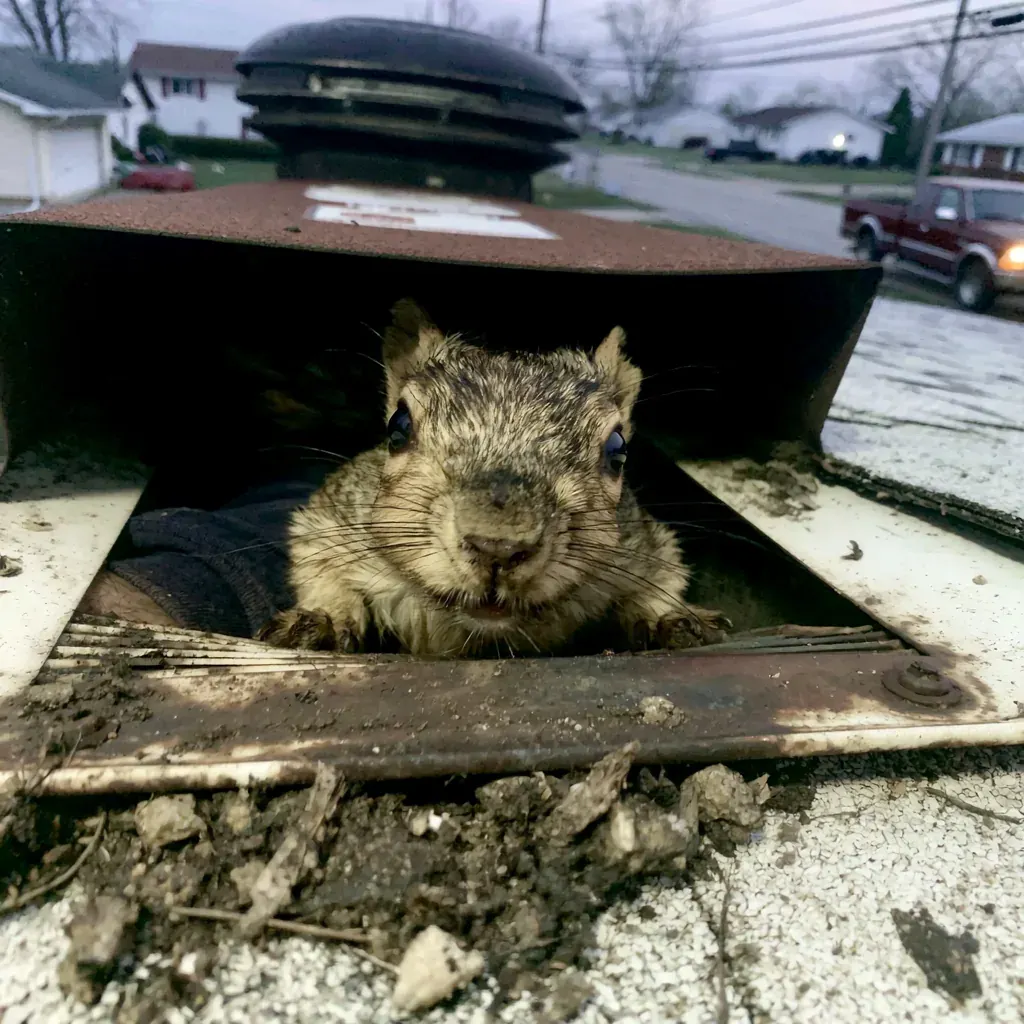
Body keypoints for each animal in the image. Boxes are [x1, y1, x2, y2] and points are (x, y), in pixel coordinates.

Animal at [257, 299, 729, 657]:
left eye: (617, 450)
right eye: (398, 427)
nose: (497, 548)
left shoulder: (645, 542)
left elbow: (661, 577)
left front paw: (671, 616)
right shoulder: (329, 519)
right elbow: (321, 569)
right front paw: (321, 618)